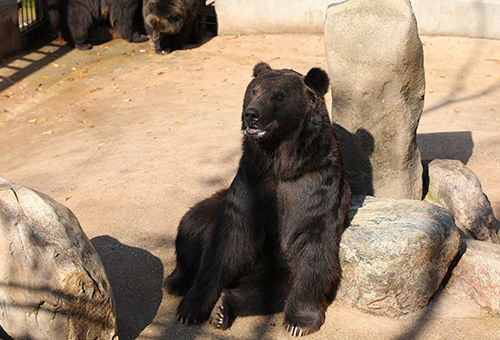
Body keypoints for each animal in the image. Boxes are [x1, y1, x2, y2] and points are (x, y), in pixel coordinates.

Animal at [165, 62, 352, 336]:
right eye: (253, 90)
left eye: (279, 95)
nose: (251, 114)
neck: (281, 160)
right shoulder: (252, 179)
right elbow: (227, 241)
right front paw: (189, 310)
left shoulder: (314, 184)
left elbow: (313, 245)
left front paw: (300, 322)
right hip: (211, 210)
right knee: (191, 228)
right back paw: (178, 282)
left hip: (271, 269)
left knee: (266, 291)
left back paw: (224, 308)